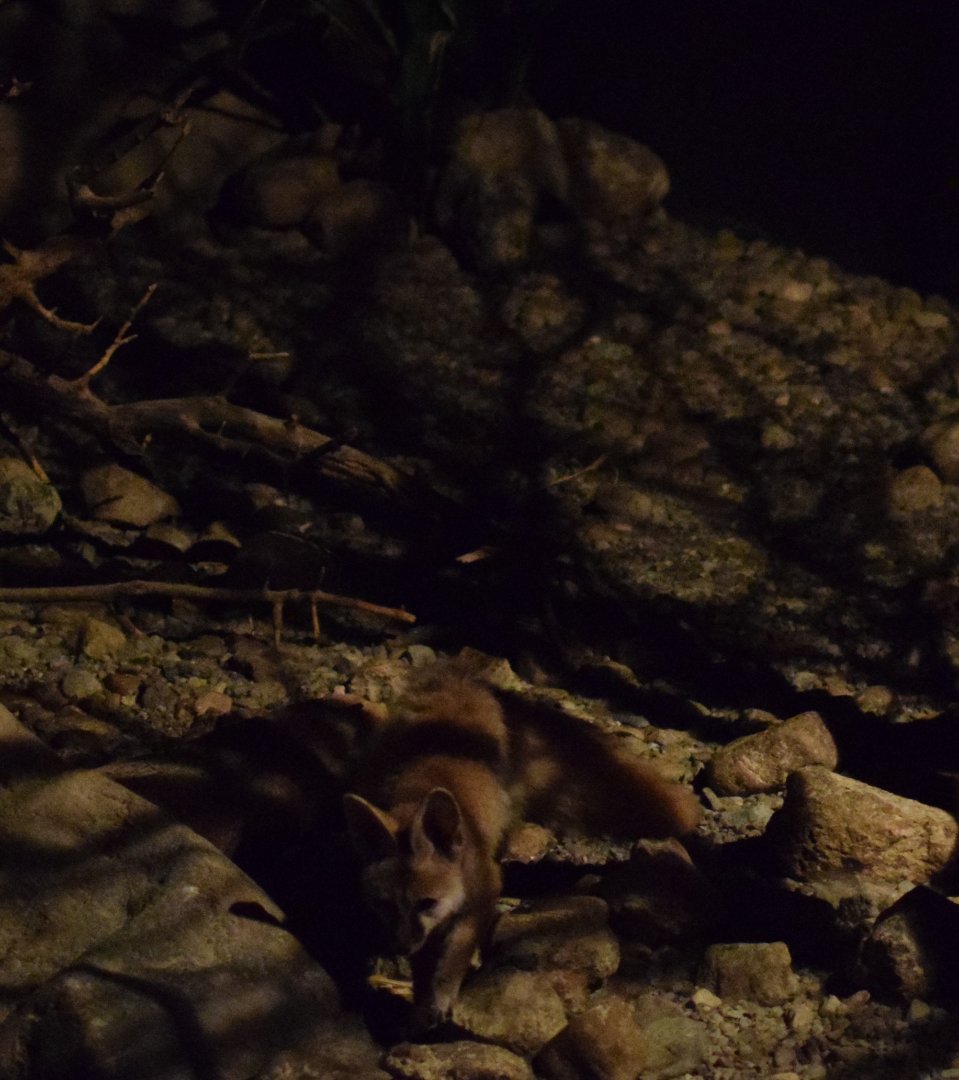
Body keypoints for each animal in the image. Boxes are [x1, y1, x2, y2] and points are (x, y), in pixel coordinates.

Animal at [342, 663, 700, 1027]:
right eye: (385, 904)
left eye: (426, 903)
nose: (399, 948)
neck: (422, 786)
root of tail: (458, 678)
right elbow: (425, 962)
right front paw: (421, 1003)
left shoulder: (481, 895)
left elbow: (453, 957)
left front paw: (441, 997)